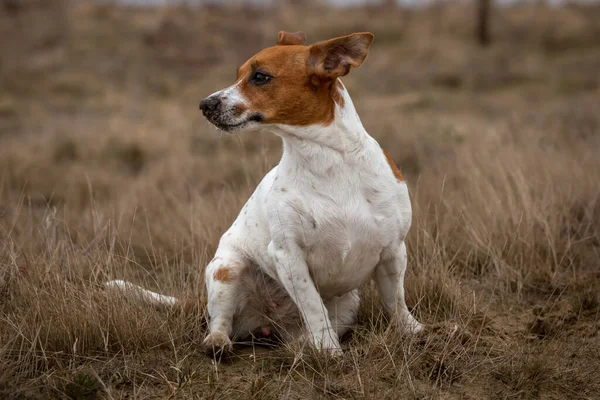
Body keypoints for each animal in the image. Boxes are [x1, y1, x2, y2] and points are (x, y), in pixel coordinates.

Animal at [109, 32, 426, 356]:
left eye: (260, 77)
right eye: (238, 74)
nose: (204, 104)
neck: (327, 160)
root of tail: (267, 323)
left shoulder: (393, 249)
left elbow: (396, 299)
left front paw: (411, 330)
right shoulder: (288, 257)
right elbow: (314, 306)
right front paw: (330, 351)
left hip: (349, 301)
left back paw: (302, 345)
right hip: (226, 270)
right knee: (221, 320)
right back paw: (218, 342)